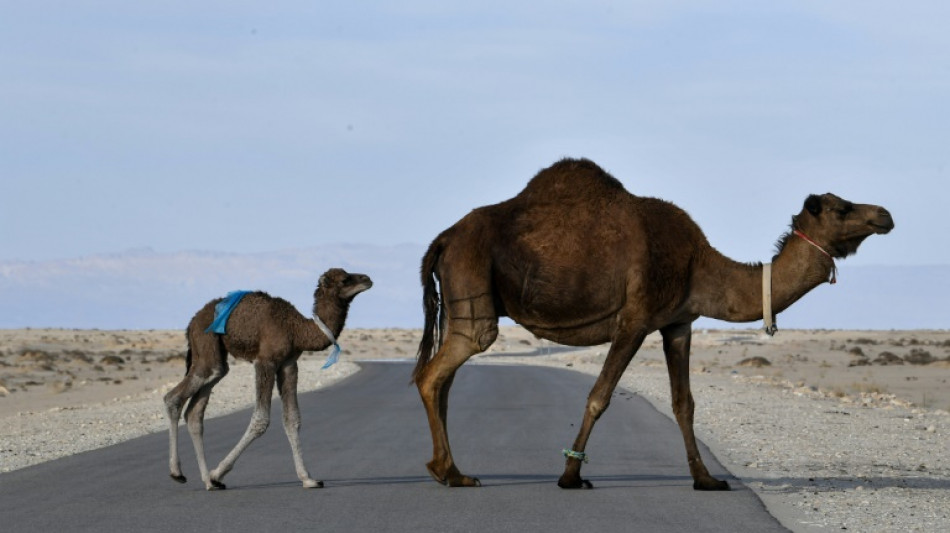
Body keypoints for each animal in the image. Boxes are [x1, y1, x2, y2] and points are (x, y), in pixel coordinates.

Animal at [164, 268, 372, 488]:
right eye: (345, 279)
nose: (367, 279)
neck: (296, 329)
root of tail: (191, 322)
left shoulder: (289, 364)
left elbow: (292, 418)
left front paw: (308, 479)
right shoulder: (265, 361)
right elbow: (261, 419)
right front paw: (218, 472)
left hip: (216, 361)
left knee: (195, 412)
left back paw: (208, 482)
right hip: (206, 345)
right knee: (173, 398)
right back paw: (179, 473)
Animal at [412, 158, 896, 490]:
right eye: (842, 208)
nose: (885, 215)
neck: (699, 262)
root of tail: (443, 239)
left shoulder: (678, 323)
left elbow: (684, 403)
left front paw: (706, 479)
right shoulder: (636, 318)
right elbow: (599, 396)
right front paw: (570, 475)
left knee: (444, 378)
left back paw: (450, 470)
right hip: (473, 283)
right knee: (438, 370)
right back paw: (447, 471)